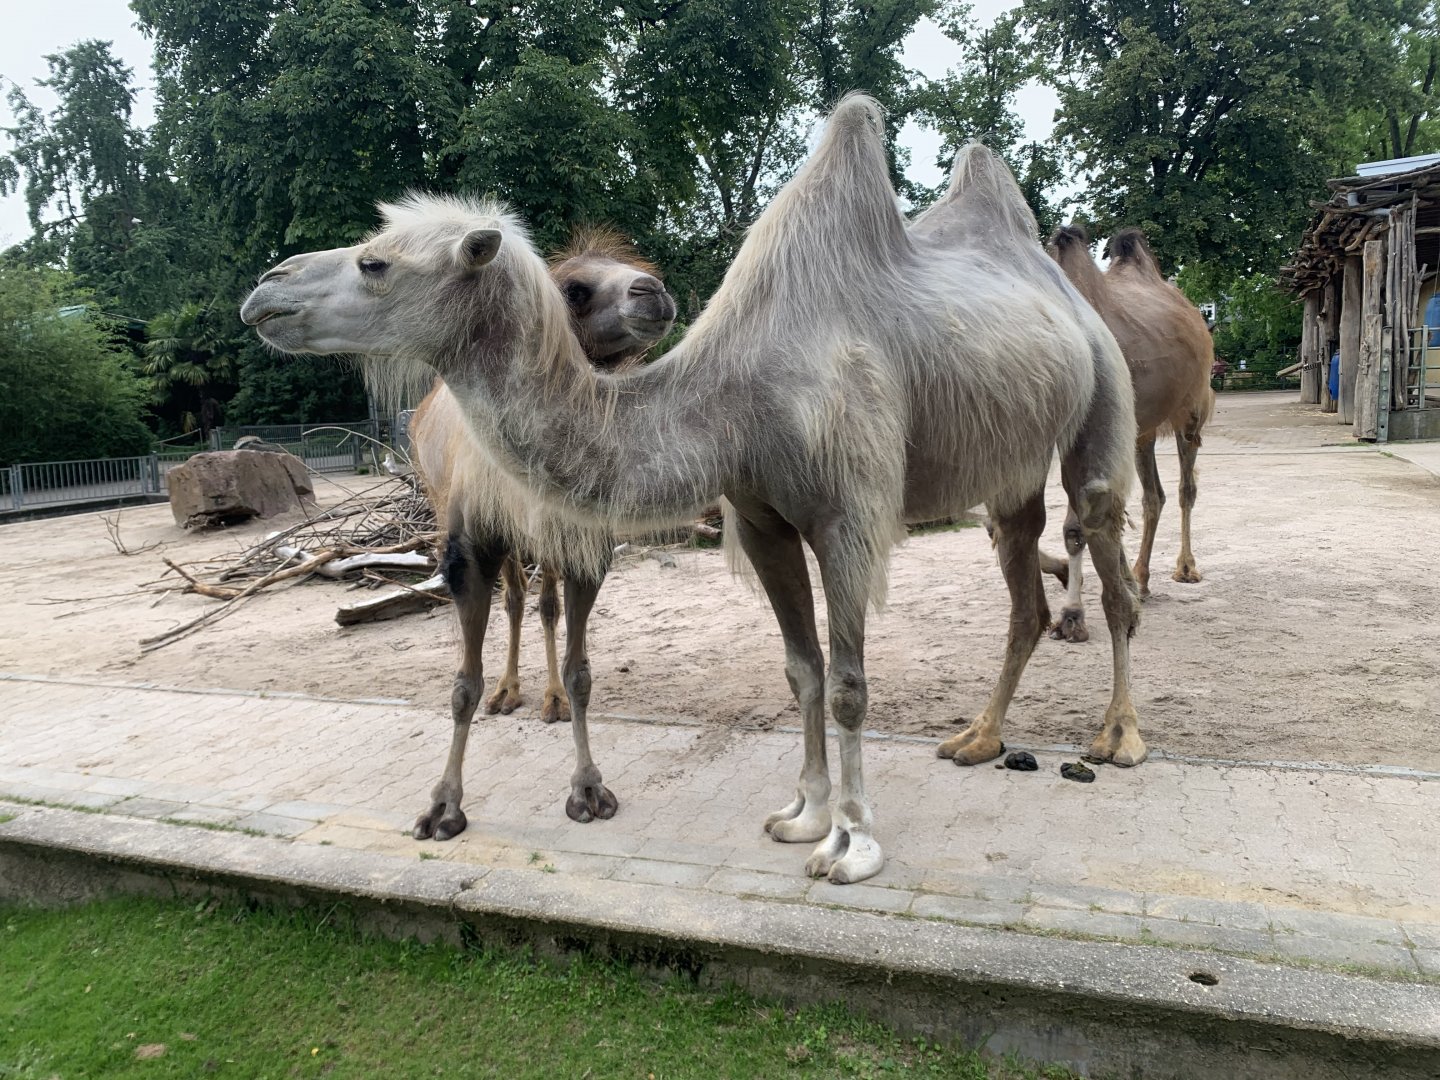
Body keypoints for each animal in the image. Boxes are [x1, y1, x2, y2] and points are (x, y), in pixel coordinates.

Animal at [411, 231, 674, 732]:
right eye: (574, 290)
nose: (653, 292)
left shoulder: (561, 519)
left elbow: (551, 604)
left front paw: (555, 699)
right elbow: (521, 599)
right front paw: (523, 693)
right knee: (513, 596)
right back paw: (505, 690)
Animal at [1045, 225, 1214, 641]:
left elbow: (1081, 522)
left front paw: (1073, 616)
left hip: (1192, 409)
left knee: (1186, 488)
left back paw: (1186, 568)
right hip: (1142, 433)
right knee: (1154, 496)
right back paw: (1141, 577)